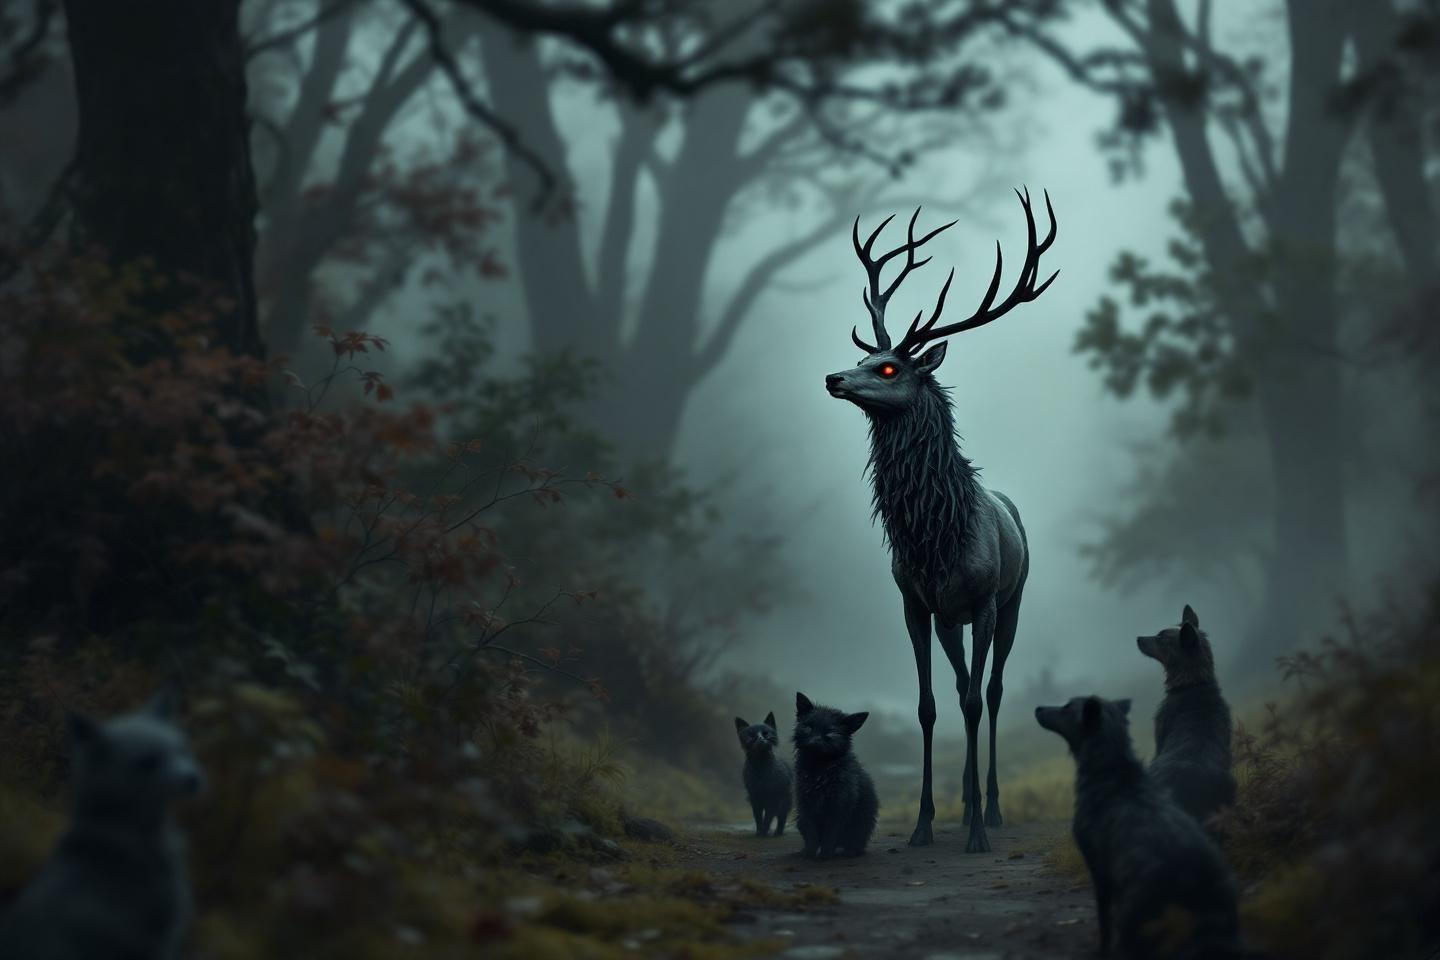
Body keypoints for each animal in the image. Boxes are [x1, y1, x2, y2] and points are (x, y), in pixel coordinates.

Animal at [824, 189, 1057, 853]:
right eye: (865, 354)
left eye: (889, 369)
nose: (832, 377)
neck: (935, 536)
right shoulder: (915, 602)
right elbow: (929, 706)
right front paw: (925, 824)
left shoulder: (984, 601)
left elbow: (978, 703)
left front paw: (977, 828)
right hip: (952, 620)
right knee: (959, 689)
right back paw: (965, 797)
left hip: (1012, 601)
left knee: (992, 691)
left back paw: (991, 807)